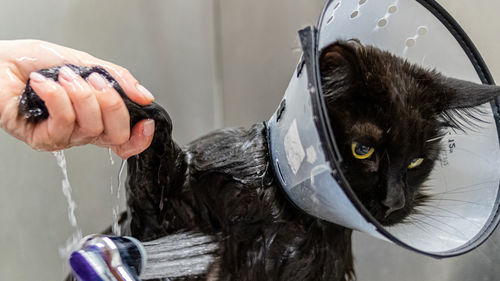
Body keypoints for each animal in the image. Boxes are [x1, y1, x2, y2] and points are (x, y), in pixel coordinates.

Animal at [18, 40, 500, 280]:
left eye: (417, 162)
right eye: (363, 150)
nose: (395, 202)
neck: (285, 205)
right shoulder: (163, 215)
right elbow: (158, 128)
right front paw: (70, 83)